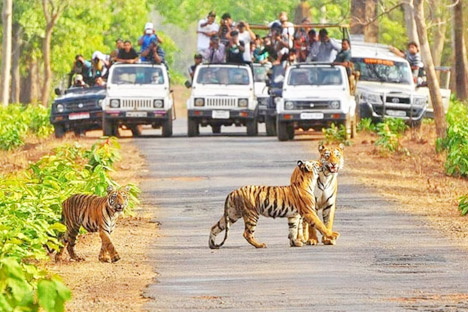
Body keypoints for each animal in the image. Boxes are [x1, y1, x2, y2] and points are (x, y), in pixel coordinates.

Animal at [209, 161, 340, 249]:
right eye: (316, 163)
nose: (323, 163)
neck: (308, 180)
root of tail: (233, 192)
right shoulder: (309, 212)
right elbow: (320, 225)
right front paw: (332, 235)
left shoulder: (293, 215)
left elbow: (292, 229)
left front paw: (295, 243)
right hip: (251, 214)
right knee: (247, 233)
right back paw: (260, 245)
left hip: (232, 214)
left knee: (215, 227)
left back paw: (212, 245)